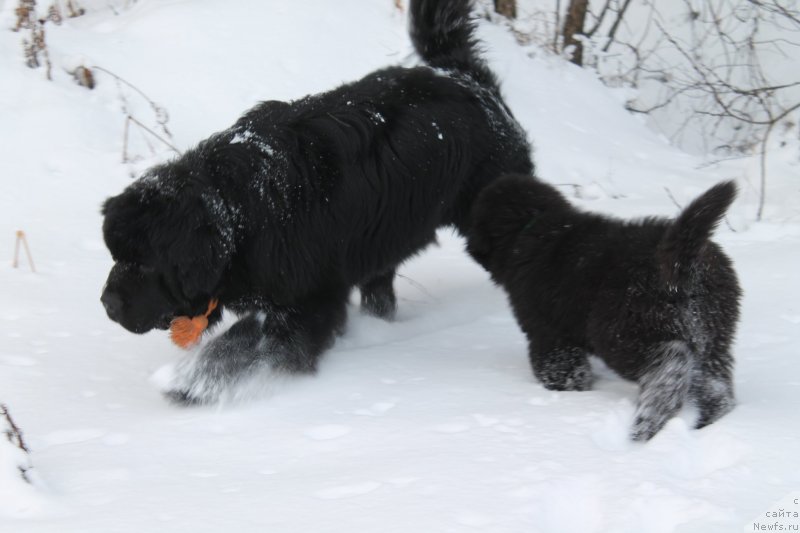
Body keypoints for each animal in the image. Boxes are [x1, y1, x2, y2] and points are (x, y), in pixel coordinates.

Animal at [103, 0, 536, 400]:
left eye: (145, 262)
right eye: (116, 255)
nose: (107, 303)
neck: (238, 211)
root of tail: (463, 76)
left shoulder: (308, 300)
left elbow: (251, 343)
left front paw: (194, 381)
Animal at [466, 175, 740, 440]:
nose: (470, 247)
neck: (531, 225)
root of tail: (682, 257)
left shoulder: (548, 333)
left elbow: (559, 366)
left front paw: (566, 390)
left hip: (620, 329)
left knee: (669, 365)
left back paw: (647, 423)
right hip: (714, 333)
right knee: (712, 381)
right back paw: (709, 419)